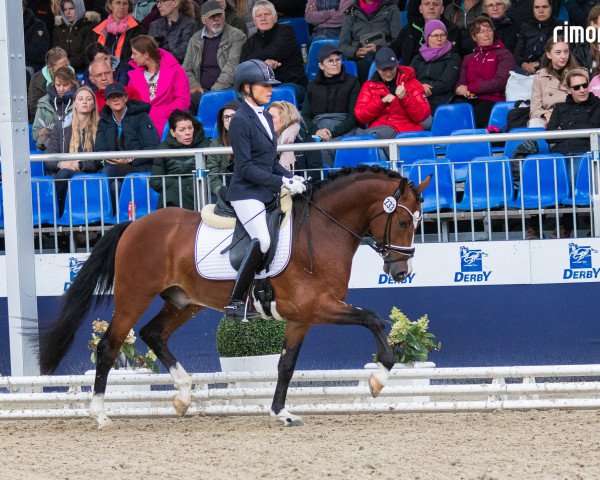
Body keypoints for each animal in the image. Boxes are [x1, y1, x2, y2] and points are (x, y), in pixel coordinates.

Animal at [37, 165, 428, 428]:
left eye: (418, 222)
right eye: (404, 222)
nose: (400, 272)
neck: (322, 229)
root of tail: (134, 224)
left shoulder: (301, 317)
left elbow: (286, 364)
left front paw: (281, 412)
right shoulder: (317, 306)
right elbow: (372, 318)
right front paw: (379, 378)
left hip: (184, 301)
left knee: (153, 333)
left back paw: (183, 394)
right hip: (133, 297)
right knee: (110, 345)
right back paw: (101, 414)